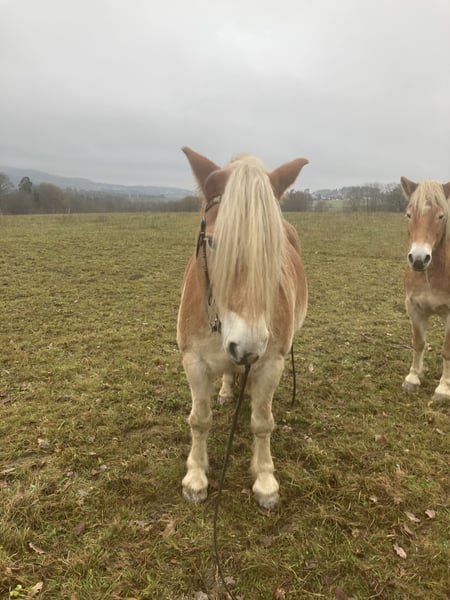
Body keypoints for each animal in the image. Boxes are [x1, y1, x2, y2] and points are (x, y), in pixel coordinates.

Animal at [177, 147, 308, 509]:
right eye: (214, 243)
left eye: (275, 248)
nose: (247, 347)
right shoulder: (193, 361)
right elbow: (199, 419)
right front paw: (196, 477)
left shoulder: (270, 364)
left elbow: (262, 423)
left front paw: (265, 481)